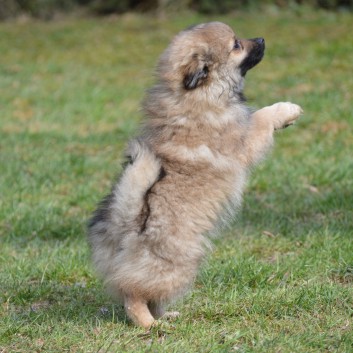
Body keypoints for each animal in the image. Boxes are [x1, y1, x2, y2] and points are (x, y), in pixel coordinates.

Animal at [86, 22, 302, 328]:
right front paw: (286, 110)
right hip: (178, 265)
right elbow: (261, 117)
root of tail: (126, 225)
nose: (261, 38)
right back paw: (152, 325)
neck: (198, 94)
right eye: (236, 45)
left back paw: (166, 315)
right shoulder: (243, 140)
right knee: (134, 296)